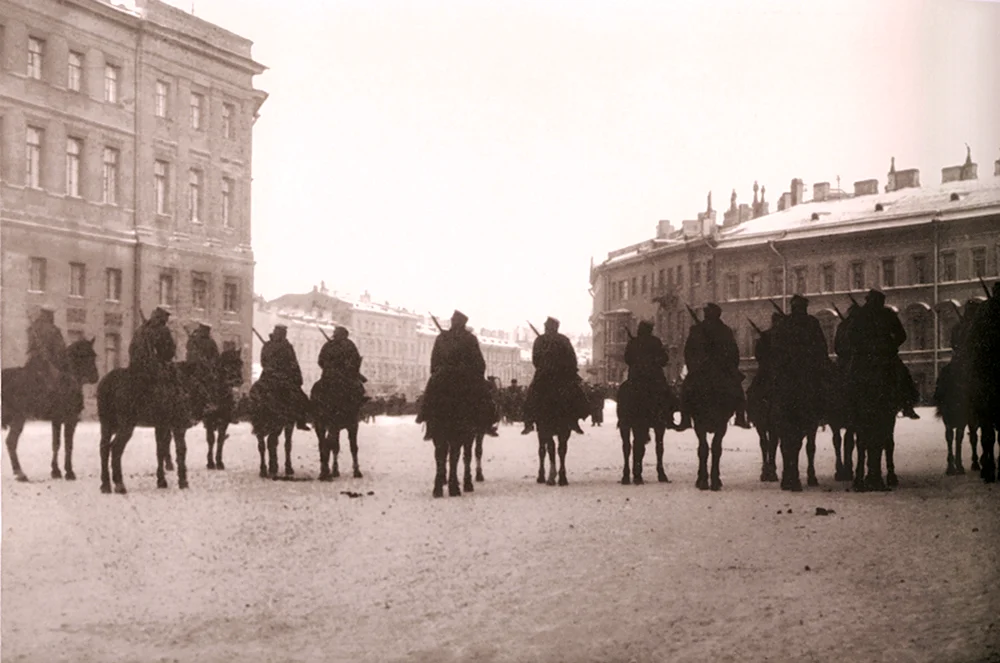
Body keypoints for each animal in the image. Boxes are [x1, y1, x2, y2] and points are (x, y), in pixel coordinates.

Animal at [1, 342, 100, 482]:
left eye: (94, 355)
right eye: (83, 355)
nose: (95, 377)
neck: (66, 380)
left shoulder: (56, 420)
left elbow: (56, 444)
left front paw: (56, 471)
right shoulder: (70, 419)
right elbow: (67, 445)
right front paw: (69, 472)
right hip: (18, 419)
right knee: (11, 442)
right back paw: (20, 473)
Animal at [96, 364, 205, 492]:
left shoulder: (161, 426)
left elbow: (160, 451)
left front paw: (161, 481)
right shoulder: (177, 426)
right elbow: (181, 450)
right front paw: (183, 482)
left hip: (106, 424)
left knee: (103, 448)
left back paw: (105, 485)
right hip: (126, 425)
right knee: (115, 448)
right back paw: (119, 484)